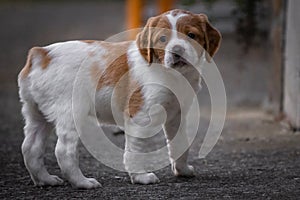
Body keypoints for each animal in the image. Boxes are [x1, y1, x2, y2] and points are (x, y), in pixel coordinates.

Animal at [18, 9, 220, 188]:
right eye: (163, 39)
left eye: (191, 35)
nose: (177, 50)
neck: (172, 74)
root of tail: (41, 54)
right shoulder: (140, 116)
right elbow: (135, 150)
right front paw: (141, 177)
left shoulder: (176, 115)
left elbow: (180, 144)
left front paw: (182, 170)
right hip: (70, 113)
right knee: (64, 151)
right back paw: (82, 182)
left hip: (36, 113)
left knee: (30, 148)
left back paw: (45, 180)